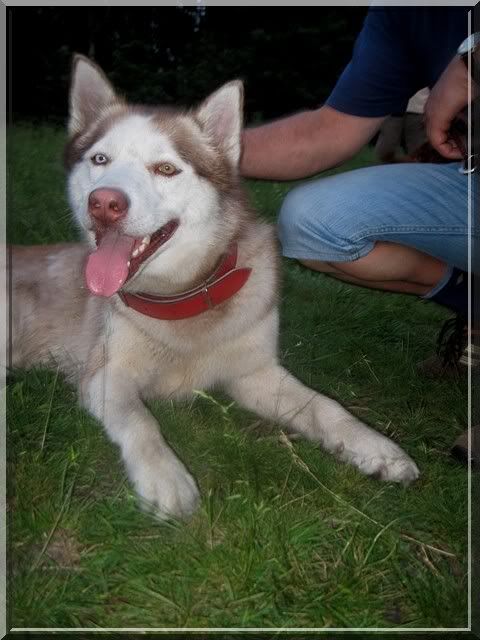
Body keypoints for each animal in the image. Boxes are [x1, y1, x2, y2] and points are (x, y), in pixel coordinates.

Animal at [8, 55, 419, 519]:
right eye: (100, 159)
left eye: (166, 168)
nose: (104, 203)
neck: (183, 297)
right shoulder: (106, 374)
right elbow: (141, 420)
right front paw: (165, 477)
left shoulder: (254, 372)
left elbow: (325, 406)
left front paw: (377, 448)